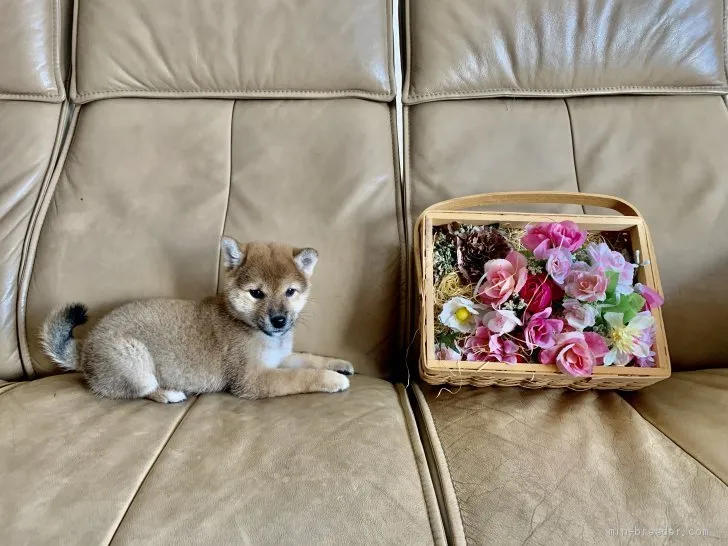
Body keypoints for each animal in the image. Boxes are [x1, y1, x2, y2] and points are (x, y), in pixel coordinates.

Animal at [41, 236, 354, 402]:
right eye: (256, 293)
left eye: (290, 291)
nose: (278, 321)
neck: (245, 324)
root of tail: (84, 349)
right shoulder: (252, 379)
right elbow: (300, 376)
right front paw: (332, 379)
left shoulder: (280, 359)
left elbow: (309, 358)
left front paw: (338, 364)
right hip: (135, 360)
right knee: (141, 390)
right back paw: (168, 393)